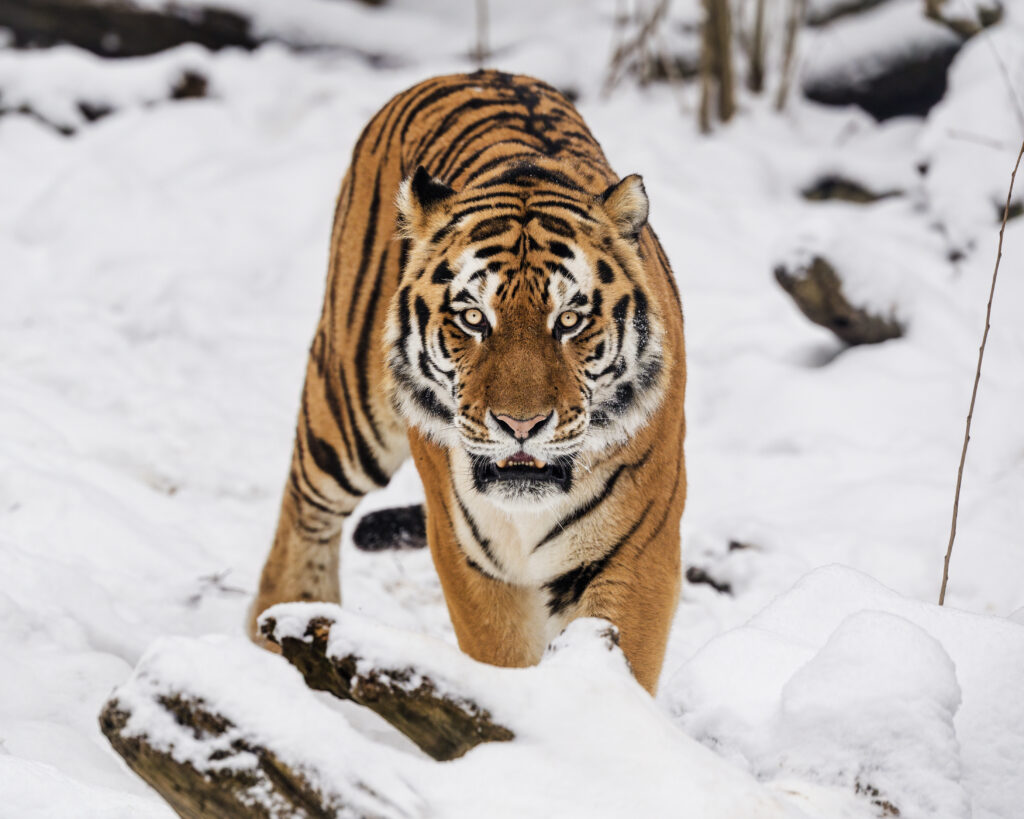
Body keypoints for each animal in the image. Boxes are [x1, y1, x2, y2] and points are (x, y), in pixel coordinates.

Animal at [248, 70, 687, 694]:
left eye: (569, 320)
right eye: (474, 318)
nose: (522, 425)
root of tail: (470, 72)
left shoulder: (636, 549)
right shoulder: (470, 557)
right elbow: (501, 657)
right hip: (349, 412)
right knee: (305, 507)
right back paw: (288, 630)